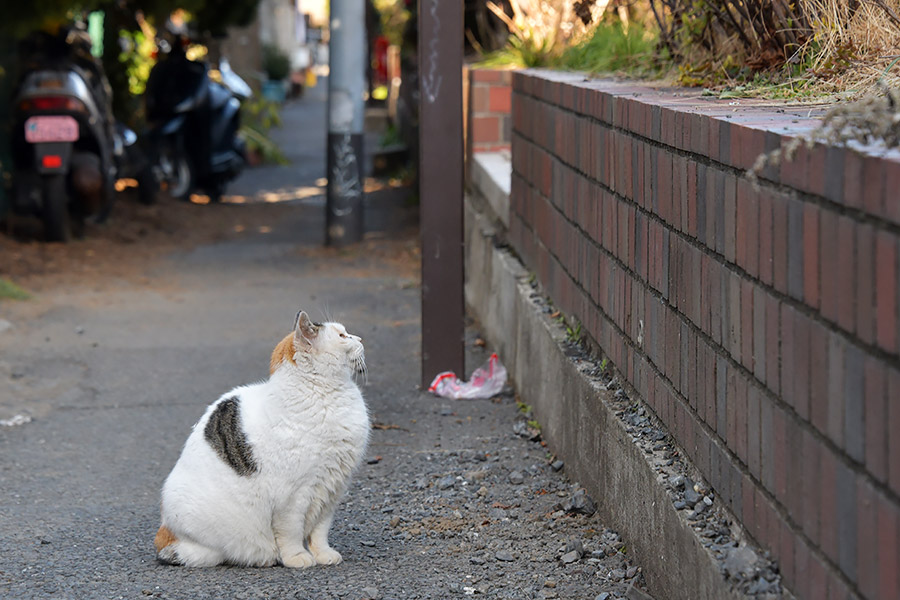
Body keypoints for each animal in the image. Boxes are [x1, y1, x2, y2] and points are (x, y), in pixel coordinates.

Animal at [155, 312, 370, 568]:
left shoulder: (330, 489)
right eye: (342, 336)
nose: (360, 338)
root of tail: (164, 531)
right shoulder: (293, 497)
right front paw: (297, 557)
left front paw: (323, 554)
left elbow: (320, 530)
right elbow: (291, 531)